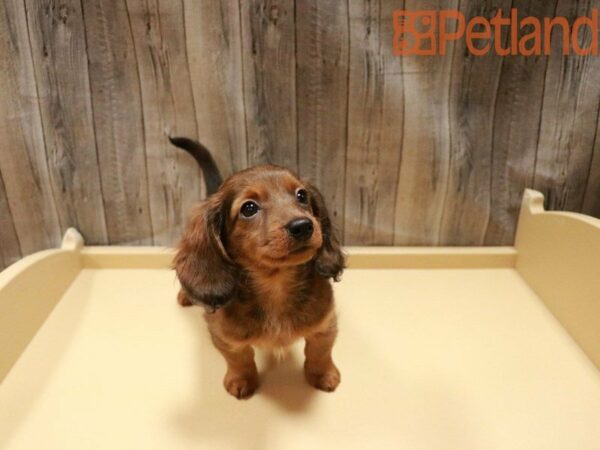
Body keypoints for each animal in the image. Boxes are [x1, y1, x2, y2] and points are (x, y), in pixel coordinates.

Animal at [171, 136, 344, 398]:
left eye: (302, 195)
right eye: (249, 208)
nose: (303, 226)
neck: (276, 286)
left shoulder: (325, 323)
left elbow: (319, 351)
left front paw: (323, 375)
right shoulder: (224, 335)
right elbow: (239, 358)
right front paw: (241, 380)